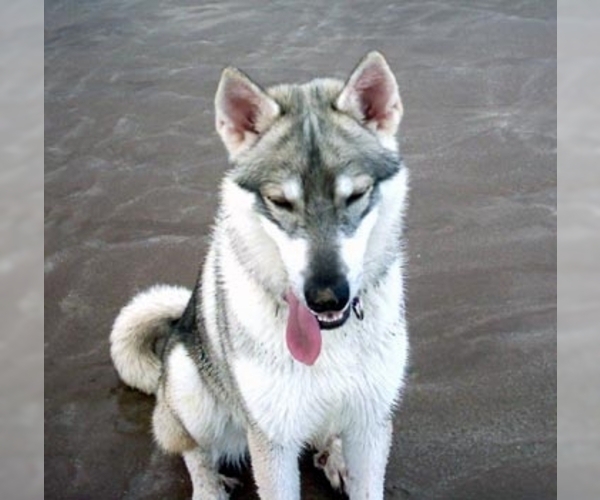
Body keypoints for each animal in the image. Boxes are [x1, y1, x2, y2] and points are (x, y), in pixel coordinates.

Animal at [110, 51, 410, 500]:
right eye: (279, 201)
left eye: (356, 195)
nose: (326, 297)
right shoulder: (272, 440)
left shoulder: (370, 424)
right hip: (188, 385)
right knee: (191, 448)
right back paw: (208, 488)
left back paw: (332, 455)